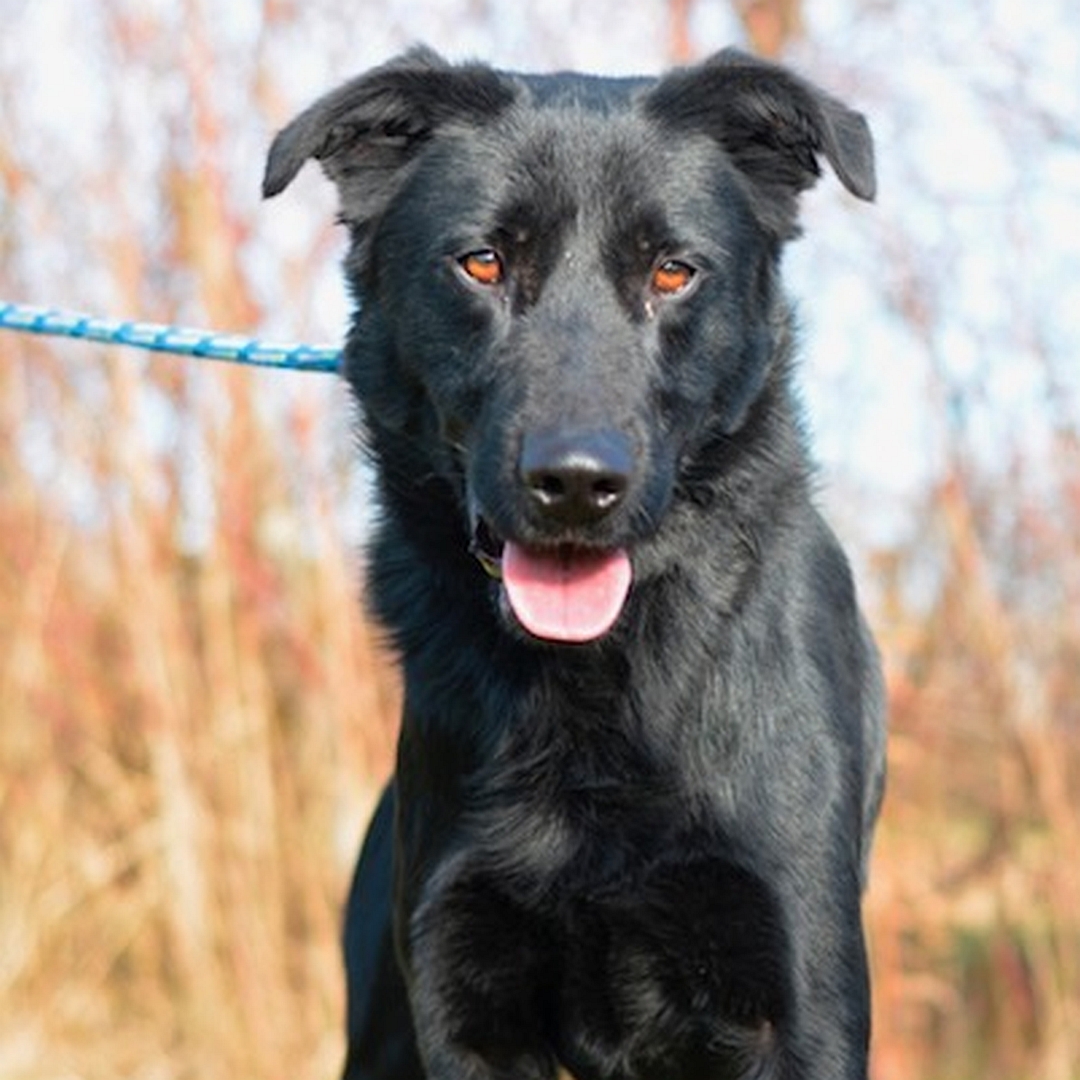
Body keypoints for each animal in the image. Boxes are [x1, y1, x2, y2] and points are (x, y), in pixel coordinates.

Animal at [263, 44, 885, 1080]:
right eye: (482, 262)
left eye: (673, 272)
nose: (576, 485)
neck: (592, 682)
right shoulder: (459, 1005)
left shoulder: (801, 1002)